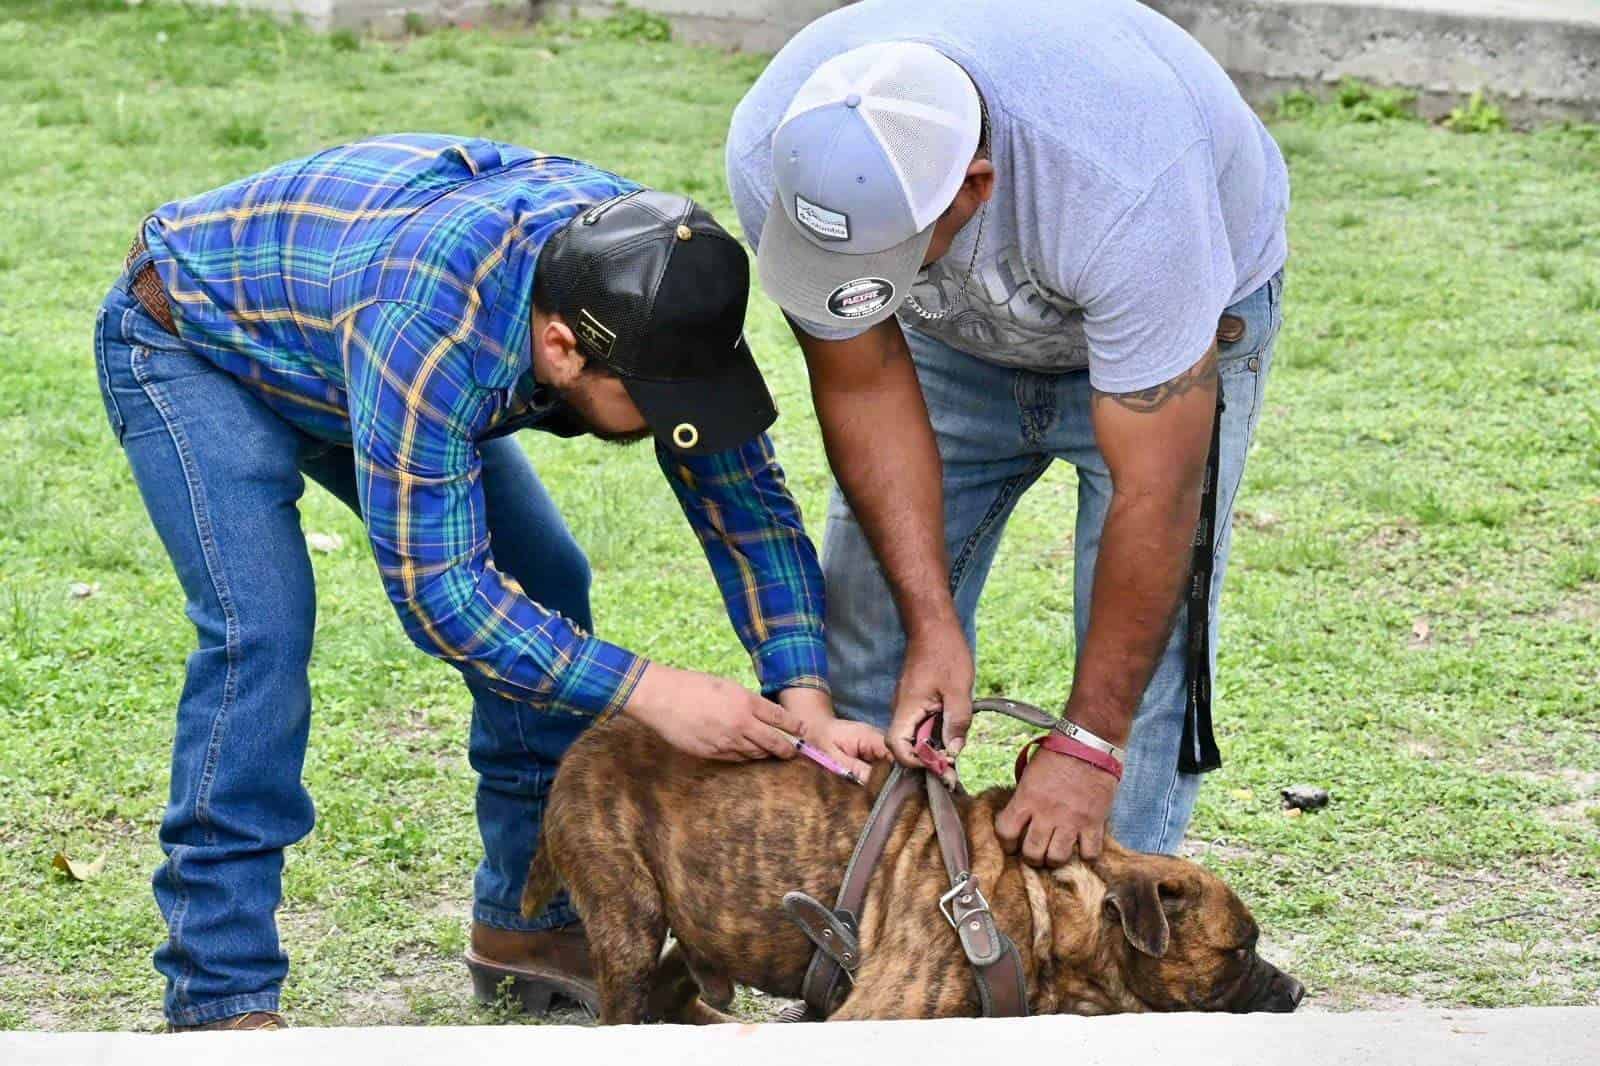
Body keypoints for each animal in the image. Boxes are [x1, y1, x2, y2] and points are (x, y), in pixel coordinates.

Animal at [531, 713, 1305, 1024]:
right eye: (1240, 950)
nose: (1297, 991)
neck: (1042, 906)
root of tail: (589, 738)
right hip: (629, 919)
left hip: (710, 926)